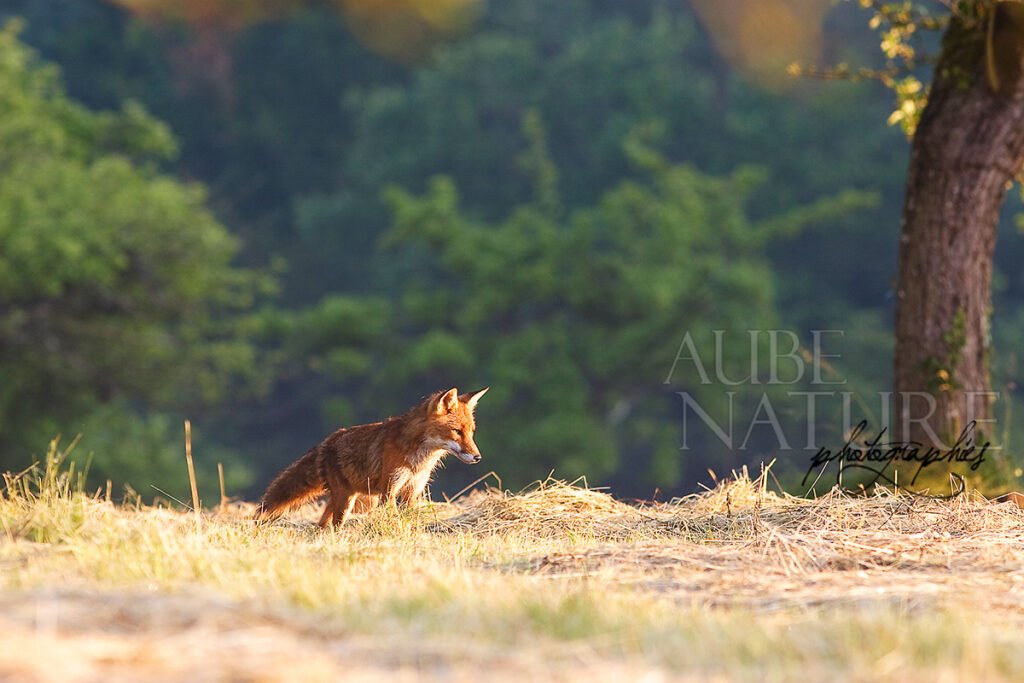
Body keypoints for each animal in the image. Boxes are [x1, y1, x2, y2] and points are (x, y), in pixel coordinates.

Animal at [256, 387, 488, 527]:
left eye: (471, 432)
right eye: (457, 431)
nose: (477, 457)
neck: (418, 460)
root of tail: (327, 441)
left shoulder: (413, 489)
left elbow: (409, 517)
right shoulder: (389, 489)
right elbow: (393, 517)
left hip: (352, 497)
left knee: (324, 522)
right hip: (347, 500)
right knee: (335, 524)